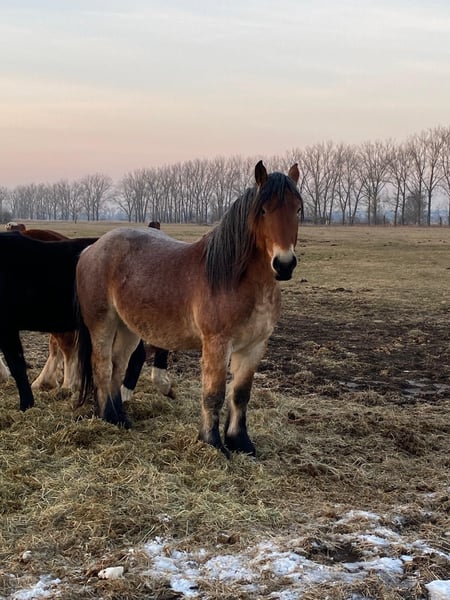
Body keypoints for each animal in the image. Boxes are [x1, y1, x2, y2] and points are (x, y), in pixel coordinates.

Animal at [76, 161, 303, 456]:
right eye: (263, 210)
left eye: (297, 209)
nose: (284, 264)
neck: (235, 279)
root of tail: (91, 248)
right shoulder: (218, 344)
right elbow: (214, 394)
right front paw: (212, 443)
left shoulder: (254, 346)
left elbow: (241, 394)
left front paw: (241, 442)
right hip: (102, 323)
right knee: (102, 365)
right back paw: (108, 416)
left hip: (128, 328)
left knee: (117, 365)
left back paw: (121, 417)